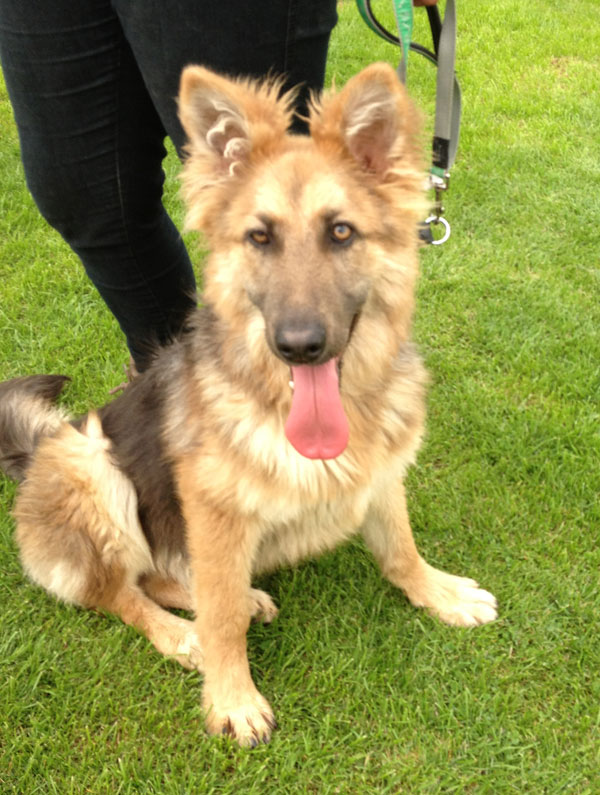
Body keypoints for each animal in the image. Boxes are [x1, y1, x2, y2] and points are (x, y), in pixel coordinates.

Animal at [0, 62, 496, 748]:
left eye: (341, 232)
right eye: (259, 237)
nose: (299, 346)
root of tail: (34, 452)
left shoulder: (379, 473)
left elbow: (400, 549)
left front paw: (440, 593)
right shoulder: (213, 513)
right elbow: (222, 617)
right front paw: (232, 697)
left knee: (169, 577)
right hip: (90, 462)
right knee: (122, 593)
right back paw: (181, 634)